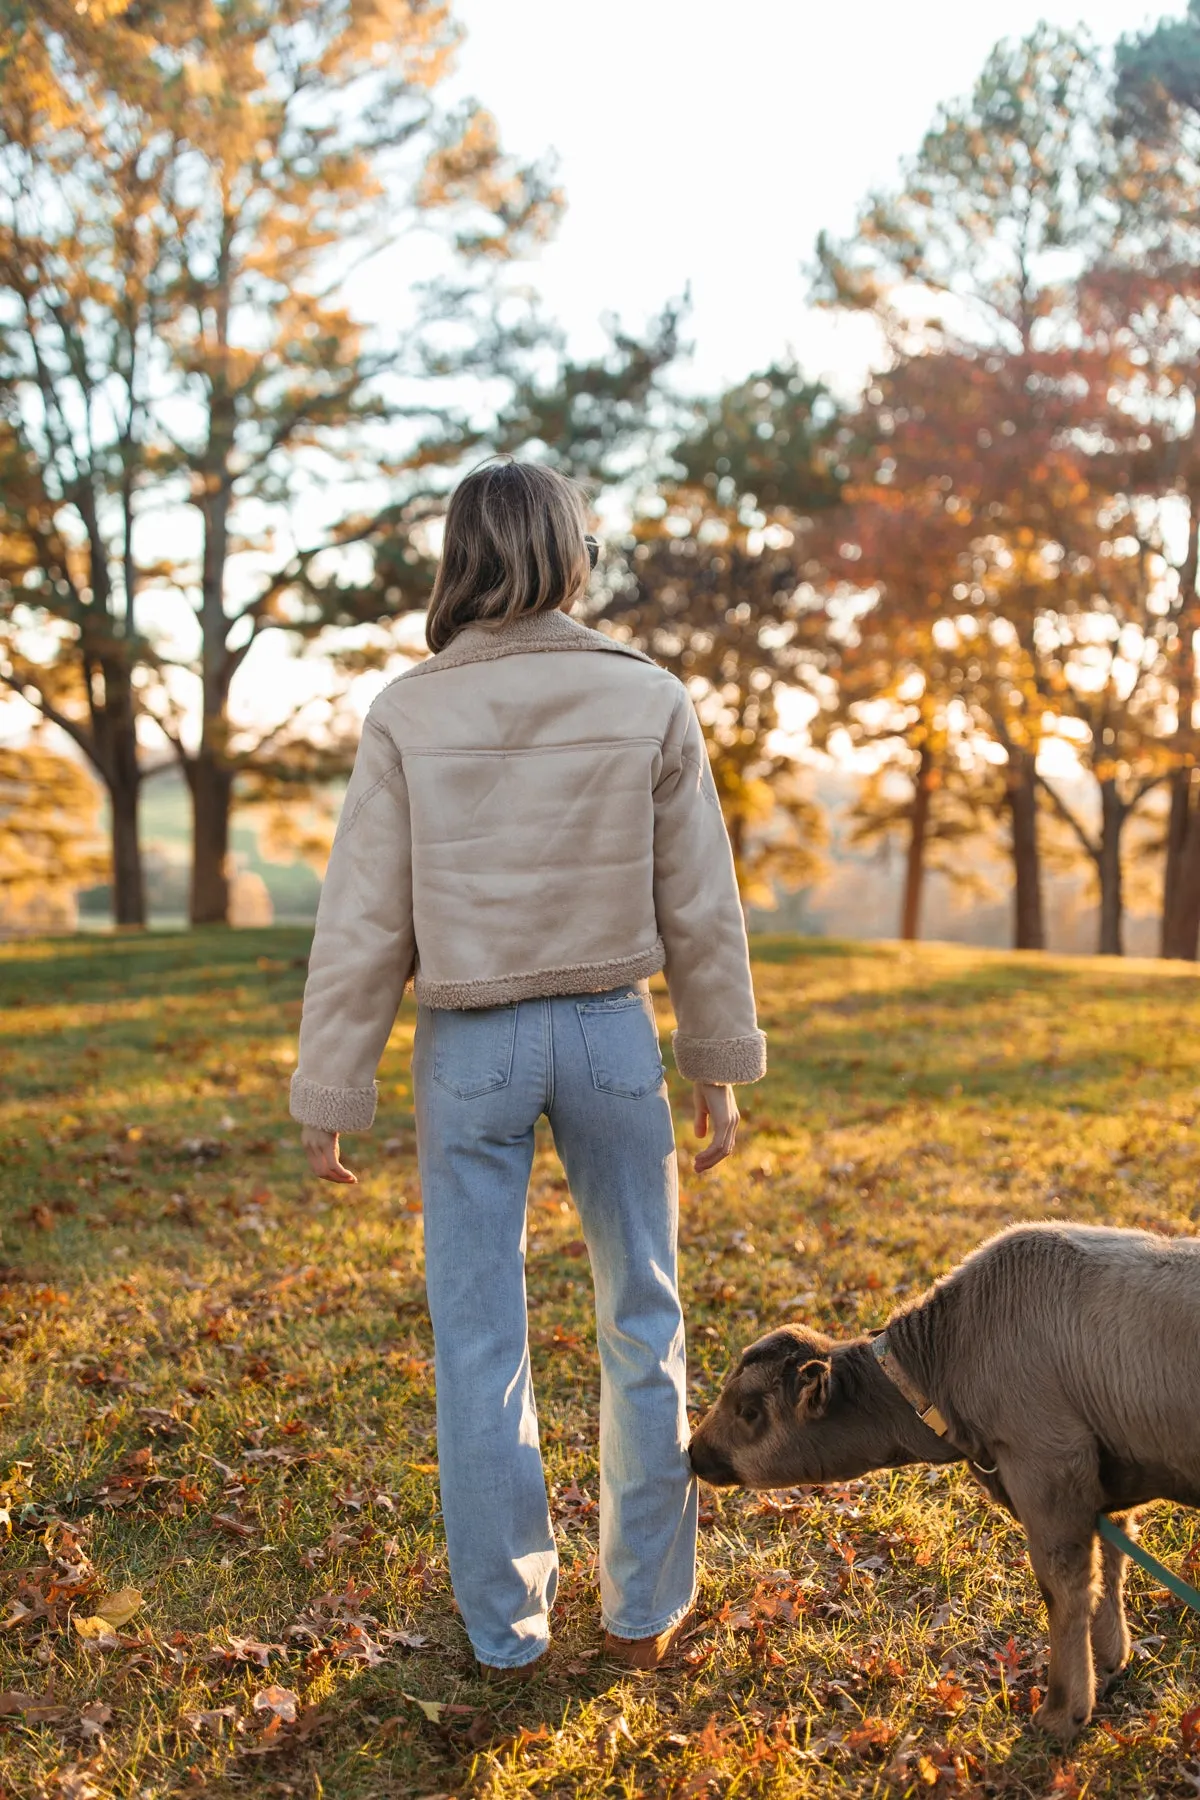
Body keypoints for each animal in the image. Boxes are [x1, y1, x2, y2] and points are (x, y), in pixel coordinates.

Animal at [683, 1224, 1200, 1742]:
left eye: (749, 1411)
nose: (694, 1452)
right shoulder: (1107, 1487)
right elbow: (1112, 1568)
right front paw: (1109, 1663)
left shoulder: (1050, 1470)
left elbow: (1066, 1588)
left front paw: (1061, 1713)